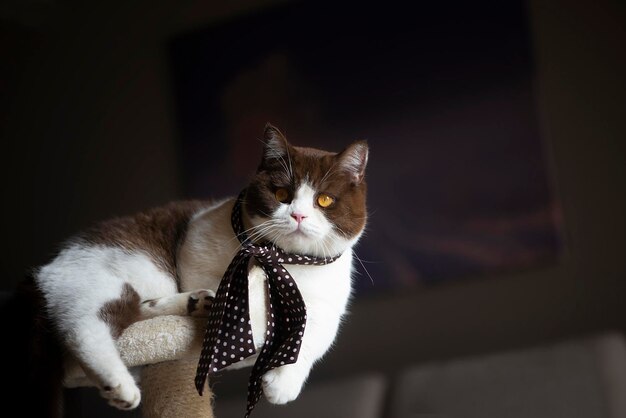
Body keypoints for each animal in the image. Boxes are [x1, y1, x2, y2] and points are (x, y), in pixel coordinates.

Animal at [31, 124, 368, 412]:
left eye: (324, 200)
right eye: (281, 194)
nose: (298, 215)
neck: (281, 259)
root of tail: (45, 271)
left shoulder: (329, 297)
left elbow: (315, 332)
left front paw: (282, 384)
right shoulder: (195, 245)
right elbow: (236, 302)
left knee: (137, 309)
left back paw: (196, 303)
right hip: (121, 270)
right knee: (85, 325)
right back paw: (120, 385)